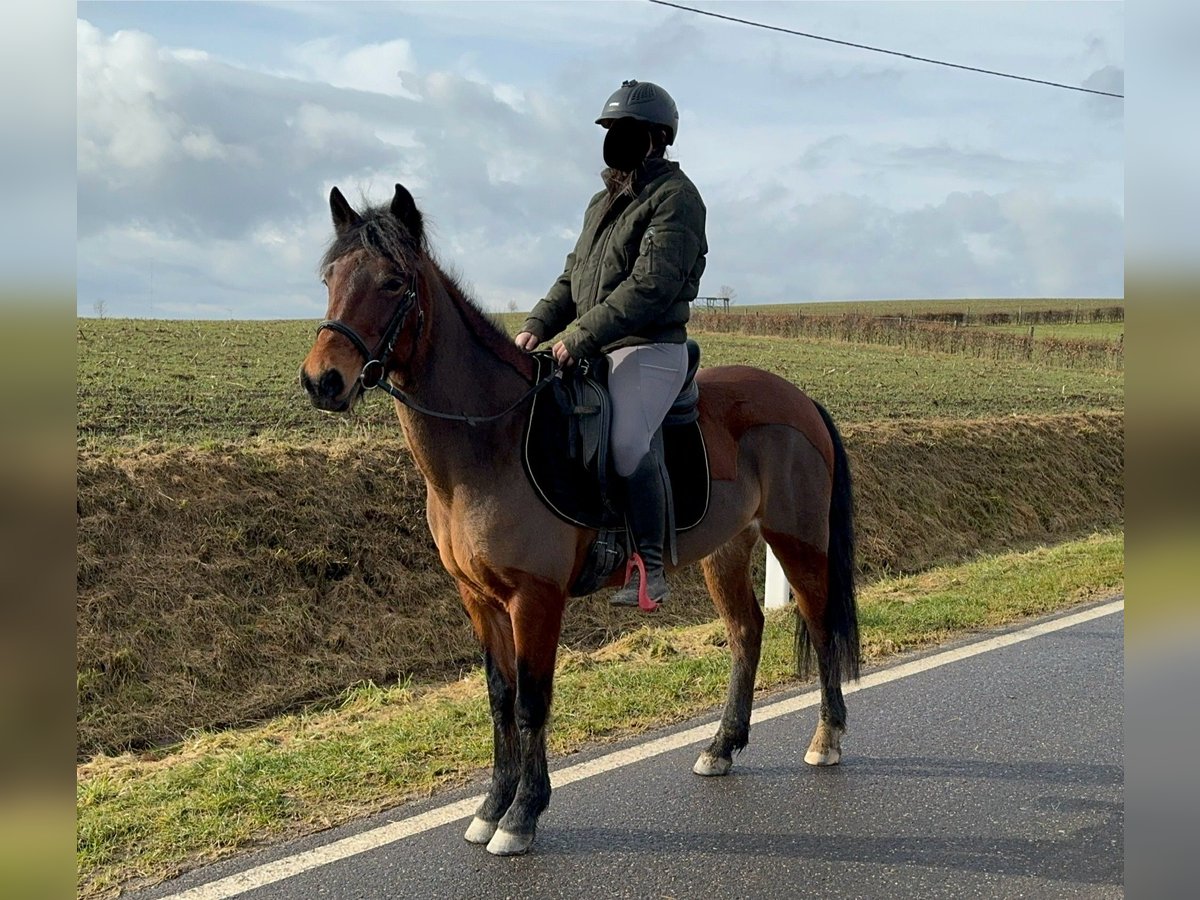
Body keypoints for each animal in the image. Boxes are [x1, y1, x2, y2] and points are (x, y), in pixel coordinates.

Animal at [302, 183, 864, 859]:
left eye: (391, 282)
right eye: (329, 277)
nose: (321, 381)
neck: (490, 441)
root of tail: (800, 399)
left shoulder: (535, 599)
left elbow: (532, 702)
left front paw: (522, 814)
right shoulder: (478, 600)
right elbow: (499, 700)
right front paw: (491, 806)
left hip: (798, 541)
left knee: (821, 624)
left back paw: (826, 738)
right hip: (727, 549)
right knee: (745, 632)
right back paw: (722, 746)